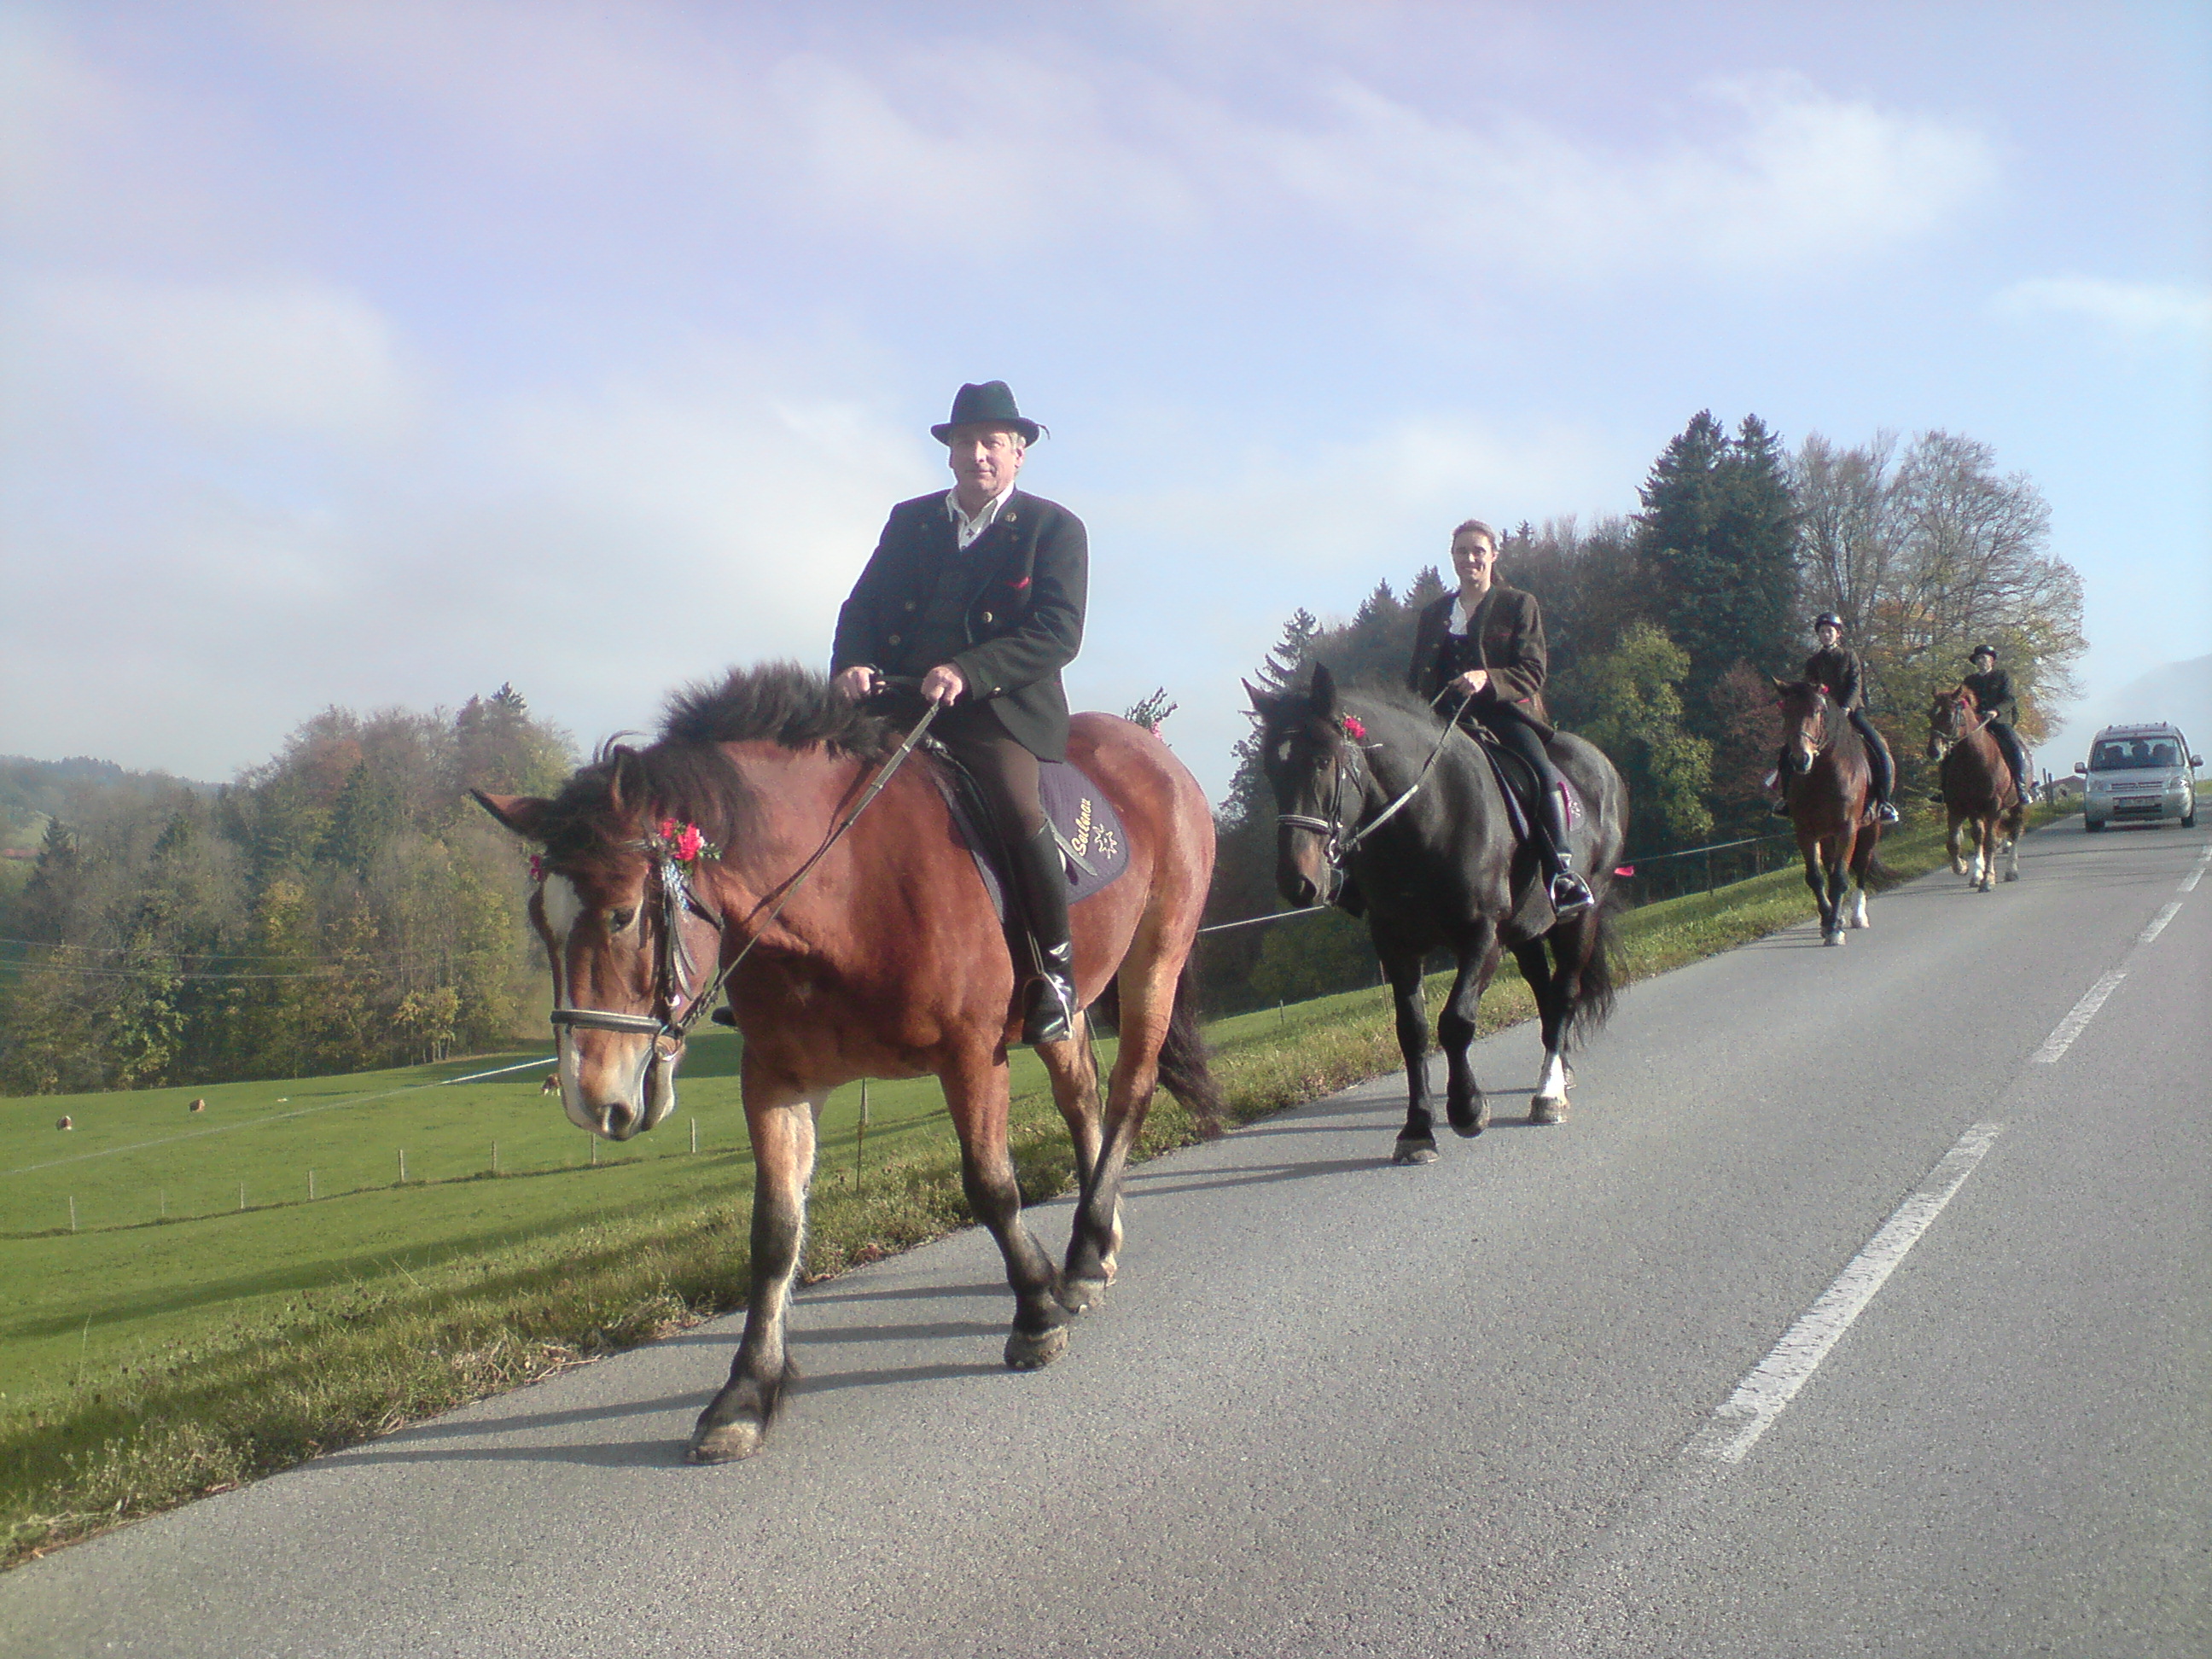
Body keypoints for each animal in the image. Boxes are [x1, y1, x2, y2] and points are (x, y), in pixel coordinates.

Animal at [474, 663, 1223, 1463]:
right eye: (539, 922)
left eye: (622, 914)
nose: (591, 1099)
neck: (850, 888)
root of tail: (1151, 749)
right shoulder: (777, 1079)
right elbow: (774, 1232)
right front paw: (746, 1393)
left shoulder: (970, 1054)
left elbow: (991, 1188)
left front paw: (1034, 1314)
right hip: (1069, 1003)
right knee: (1081, 1093)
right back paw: (1097, 1242)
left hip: (1155, 960)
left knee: (1128, 1091)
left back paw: (1080, 1258)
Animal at [1247, 664, 1626, 1164]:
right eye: (1272, 769)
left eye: (1323, 761)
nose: (1298, 882)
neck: (1427, 820)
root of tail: (1600, 763)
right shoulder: (1396, 946)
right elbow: (1412, 1032)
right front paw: (1417, 1131)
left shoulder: (1482, 935)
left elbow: (1456, 1021)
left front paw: (1467, 1110)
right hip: (1525, 931)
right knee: (1543, 991)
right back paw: (1558, 1071)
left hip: (1581, 915)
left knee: (1564, 993)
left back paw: (1548, 1095)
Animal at [1773, 677, 1885, 944]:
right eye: (1786, 712)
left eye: (1818, 711)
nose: (1800, 759)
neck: (1821, 776)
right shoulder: (1806, 832)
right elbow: (1816, 877)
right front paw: (1828, 922)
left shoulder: (1848, 829)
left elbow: (1841, 877)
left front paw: (1835, 929)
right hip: (1826, 836)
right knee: (1830, 867)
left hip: (1870, 829)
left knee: (1861, 867)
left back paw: (1857, 916)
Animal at [1926, 684, 2024, 890]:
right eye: (1930, 714)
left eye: (1949, 715)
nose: (1934, 751)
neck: (1973, 761)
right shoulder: (1958, 807)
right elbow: (1954, 842)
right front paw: (1962, 867)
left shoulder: (1993, 808)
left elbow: (1990, 843)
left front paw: (1988, 880)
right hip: (1976, 811)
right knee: (1978, 836)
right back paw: (1976, 875)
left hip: (2016, 806)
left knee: (2014, 833)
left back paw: (2011, 871)